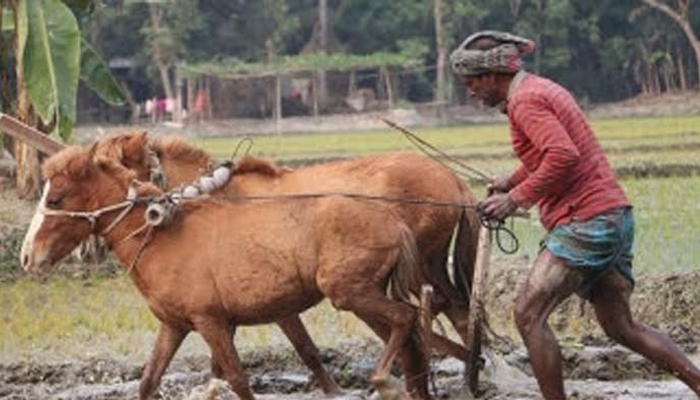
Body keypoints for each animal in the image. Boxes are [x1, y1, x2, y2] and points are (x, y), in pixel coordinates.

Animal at [21, 145, 434, 398]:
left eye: (54, 198)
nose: (28, 257)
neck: (160, 235)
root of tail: (393, 219)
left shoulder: (212, 323)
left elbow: (238, 380)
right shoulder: (175, 325)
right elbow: (149, 381)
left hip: (349, 293)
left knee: (406, 319)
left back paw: (383, 380)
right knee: (412, 341)